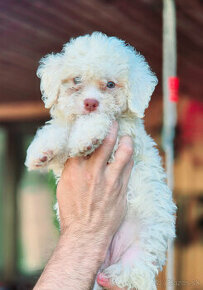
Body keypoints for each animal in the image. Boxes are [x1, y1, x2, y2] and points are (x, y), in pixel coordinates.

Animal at [25, 32, 176, 290]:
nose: (91, 103)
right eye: (76, 80)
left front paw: (85, 137)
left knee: (130, 273)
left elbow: (99, 120)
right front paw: (41, 151)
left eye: (111, 85)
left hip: (136, 258)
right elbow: (62, 128)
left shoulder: (125, 134)